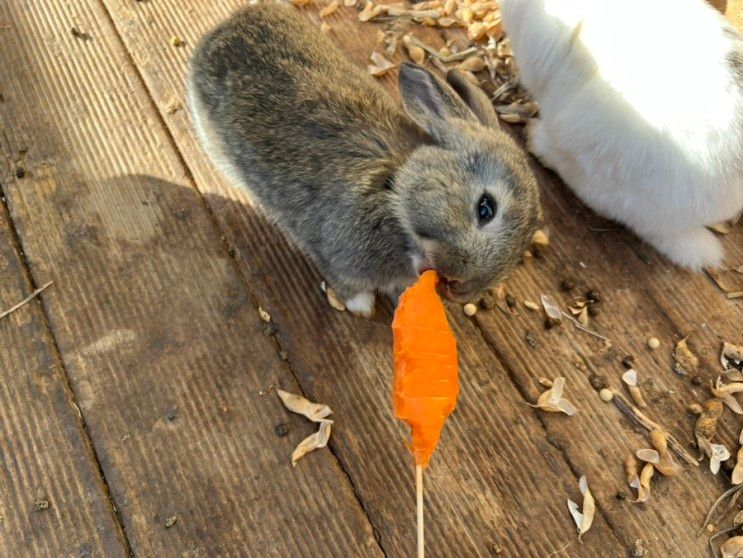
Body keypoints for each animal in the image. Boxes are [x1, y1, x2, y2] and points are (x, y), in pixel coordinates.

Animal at [189, 3, 544, 320]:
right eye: (485, 208)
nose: (461, 289)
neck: (395, 190)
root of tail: (223, 28)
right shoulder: (334, 255)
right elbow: (346, 283)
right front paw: (361, 308)